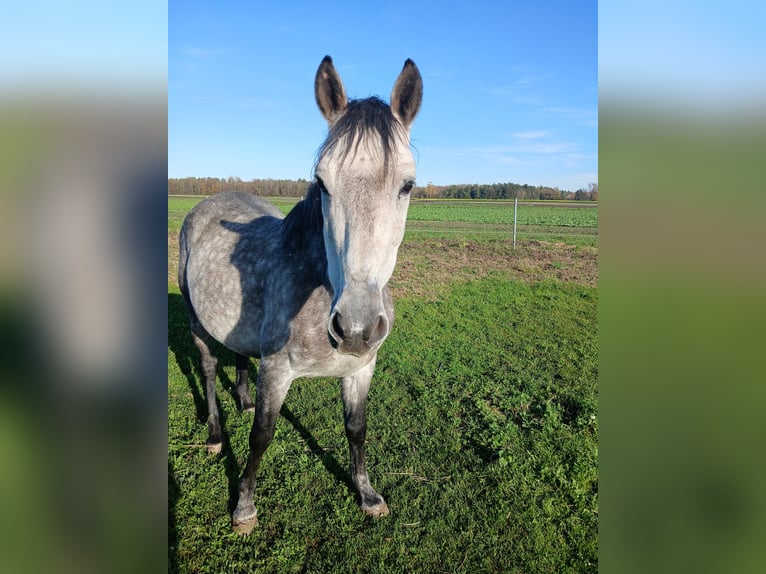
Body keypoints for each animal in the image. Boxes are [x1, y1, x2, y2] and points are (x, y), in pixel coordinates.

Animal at [178, 55, 424, 536]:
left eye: (407, 185)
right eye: (322, 183)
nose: (355, 328)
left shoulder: (361, 369)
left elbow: (356, 428)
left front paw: (367, 495)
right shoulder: (277, 371)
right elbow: (261, 436)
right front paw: (244, 507)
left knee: (239, 357)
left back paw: (242, 399)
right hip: (197, 322)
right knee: (210, 368)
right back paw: (215, 434)